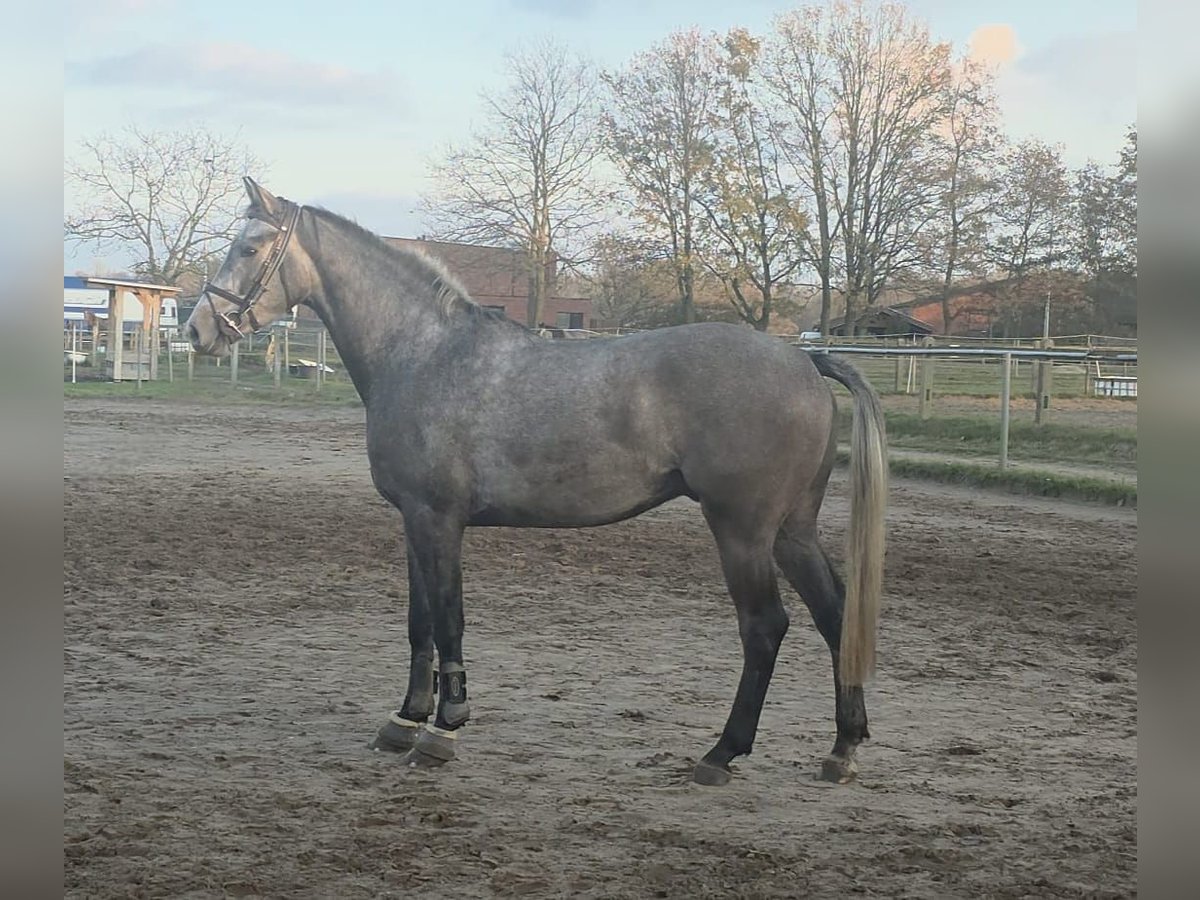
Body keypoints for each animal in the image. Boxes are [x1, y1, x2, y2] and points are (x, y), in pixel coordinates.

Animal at [185, 178, 888, 786]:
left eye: (249, 248)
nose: (196, 329)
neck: (426, 354)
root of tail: (804, 358)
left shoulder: (439, 519)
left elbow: (448, 620)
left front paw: (444, 730)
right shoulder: (412, 521)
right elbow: (418, 623)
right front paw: (404, 720)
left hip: (742, 530)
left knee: (765, 628)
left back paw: (722, 753)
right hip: (791, 531)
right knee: (834, 615)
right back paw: (843, 747)